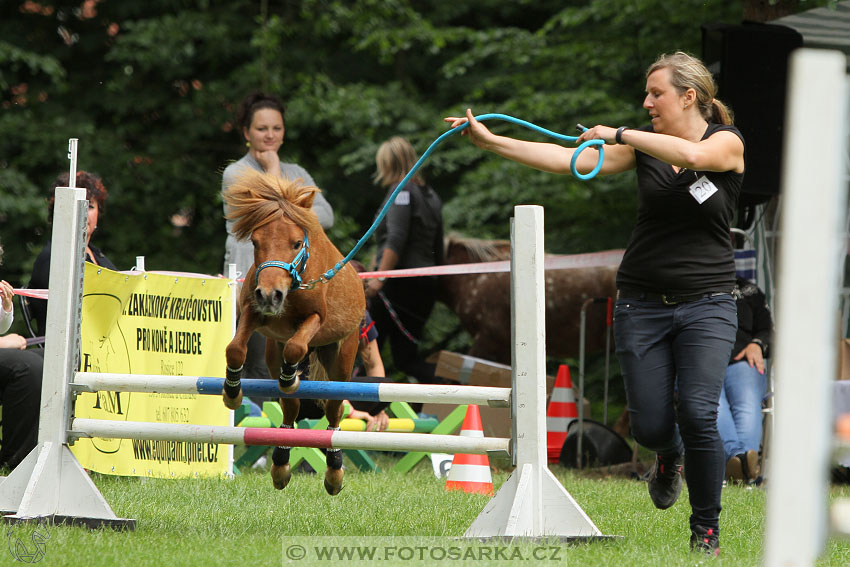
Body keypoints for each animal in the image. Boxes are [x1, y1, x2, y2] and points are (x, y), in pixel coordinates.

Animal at [220, 166, 362, 494]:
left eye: (296, 243)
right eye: (256, 242)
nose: (270, 295)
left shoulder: (315, 319)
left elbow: (296, 346)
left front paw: (290, 377)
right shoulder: (253, 312)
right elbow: (235, 348)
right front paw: (232, 391)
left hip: (341, 361)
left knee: (334, 411)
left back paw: (334, 472)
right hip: (273, 352)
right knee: (290, 409)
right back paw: (281, 465)